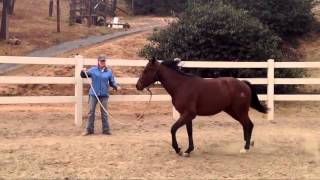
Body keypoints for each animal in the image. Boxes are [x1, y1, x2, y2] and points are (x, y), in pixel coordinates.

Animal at [135, 57, 268, 156]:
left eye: (146, 70)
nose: (138, 86)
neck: (181, 86)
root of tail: (244, 83)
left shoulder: (188, 114)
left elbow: (173, 129)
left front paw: (178, 149)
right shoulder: (186, 115)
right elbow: (189, 132)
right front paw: (188, 150)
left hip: (240, 110)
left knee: (249, 124)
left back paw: (245, 148)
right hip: (232, 111)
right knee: (245, 125)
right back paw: (249, 143)